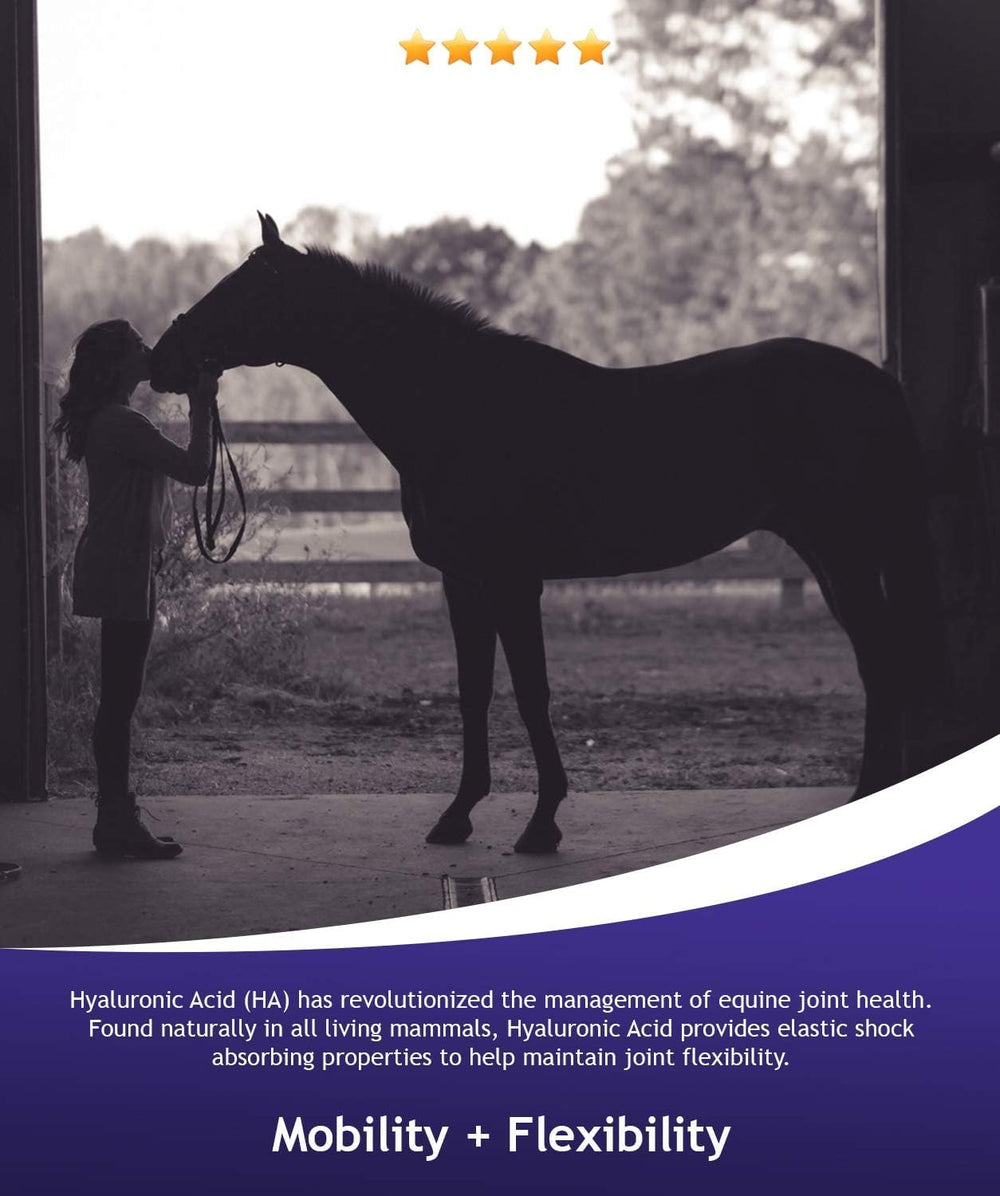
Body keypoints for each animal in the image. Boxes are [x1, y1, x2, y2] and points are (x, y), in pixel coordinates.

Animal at [150, 212, 945, 854]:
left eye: (246, 291)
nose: (162, 360)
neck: (458, 408)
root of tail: (878, 382)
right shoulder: (462, 581)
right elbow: (474, 692)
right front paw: (458, 816)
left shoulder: (512, 580)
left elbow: (532, 692)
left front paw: (541, 824)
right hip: (830, 553)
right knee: (882, 661)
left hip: (844, 551)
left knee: (885, 662)